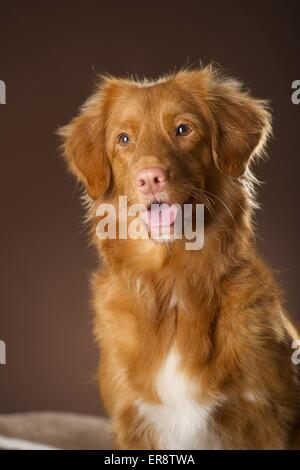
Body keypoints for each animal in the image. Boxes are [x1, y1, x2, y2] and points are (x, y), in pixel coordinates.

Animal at [60, 65, 300, 448]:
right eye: (123, 139)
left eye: (183, 129)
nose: (150, 178)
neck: (173, 284)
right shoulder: (132, 423)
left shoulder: (271, 420)